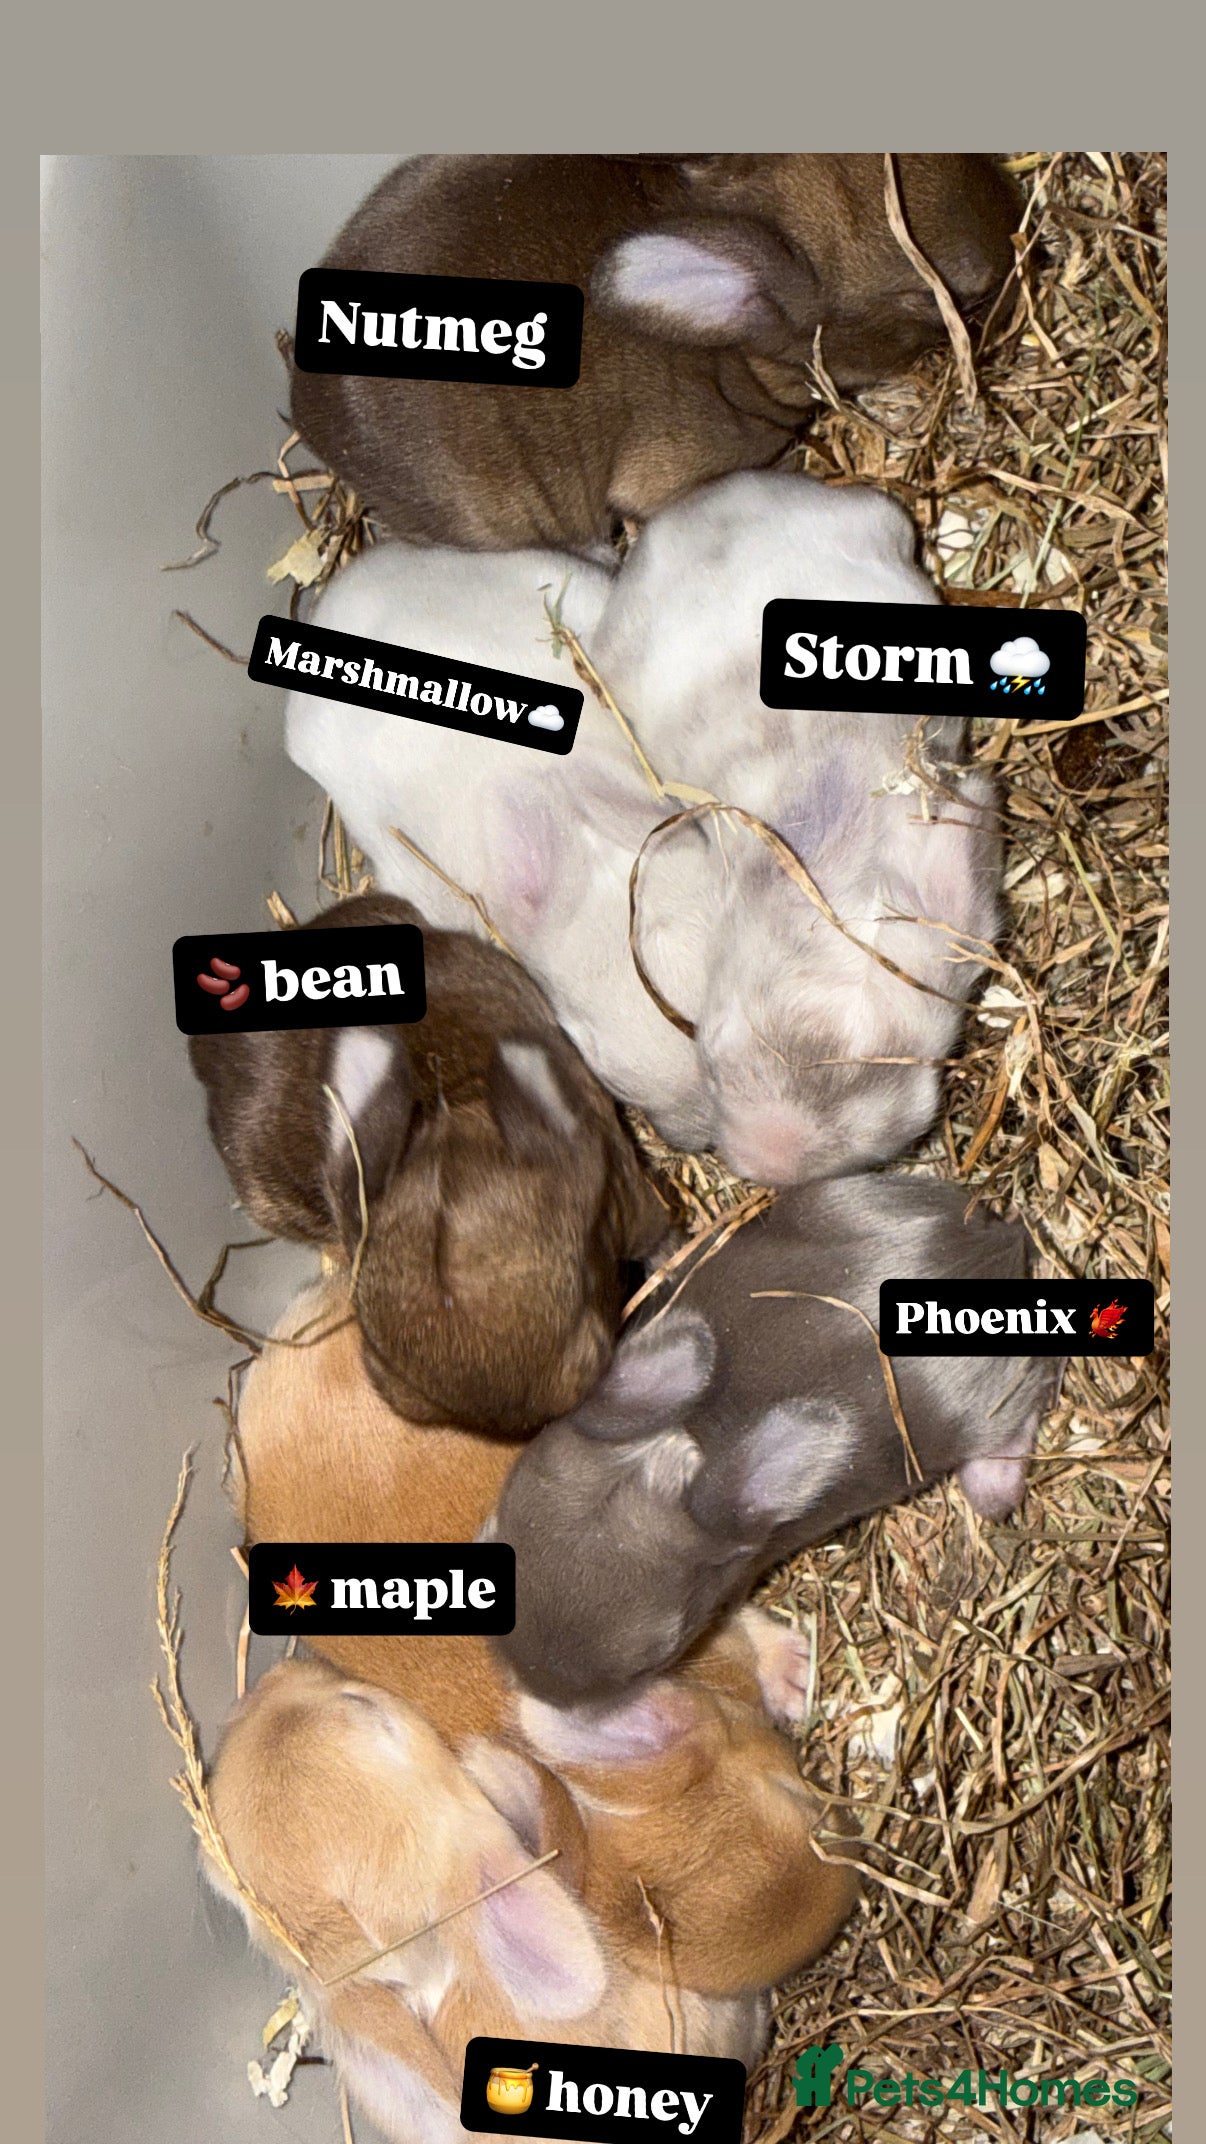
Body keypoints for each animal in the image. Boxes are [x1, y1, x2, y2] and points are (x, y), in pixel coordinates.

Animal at [494, 1174, 1064, 1707]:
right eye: (494, 1529)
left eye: (658, 1656)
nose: (536, 1689)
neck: (690, 1440)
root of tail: (994, 1246)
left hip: (987, 1406)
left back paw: (994, 1483)